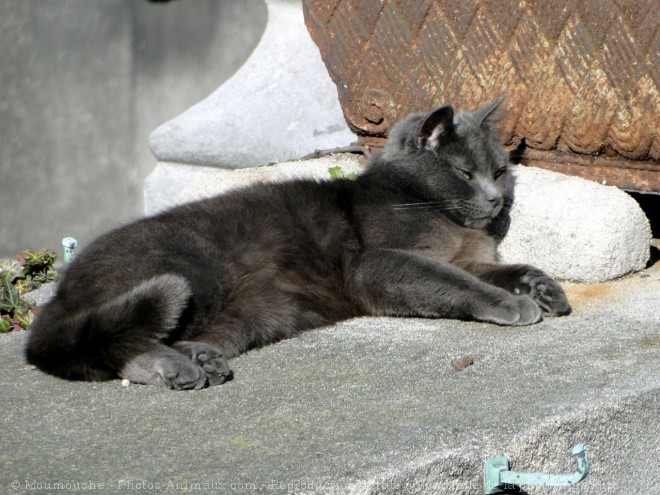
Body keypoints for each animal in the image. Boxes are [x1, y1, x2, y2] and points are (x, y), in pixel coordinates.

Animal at [27, 99, 568, 390]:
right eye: (464, 173)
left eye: (500, 170)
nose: (497, 199)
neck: (443, 217)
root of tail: (60, 292)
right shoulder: (378, 262)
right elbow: (452, 280)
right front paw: (511, 303)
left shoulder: (470, 258)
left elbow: (500, 268)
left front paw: (544, 289)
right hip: (189, 272)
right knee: (110, 347)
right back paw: (174, 367)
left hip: (248, 316)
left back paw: (197, 360)